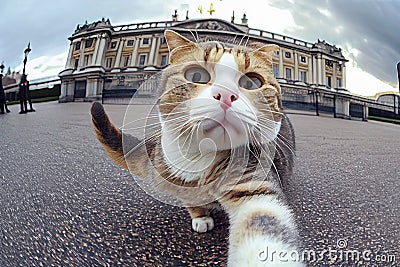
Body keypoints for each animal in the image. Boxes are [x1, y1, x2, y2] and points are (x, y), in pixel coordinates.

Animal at [90, 29, 302, 267]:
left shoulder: (252, 179)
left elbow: (262, 221)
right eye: (196, 76)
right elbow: (190, 199)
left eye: (252, 82)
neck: (201, 156)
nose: (226, 95)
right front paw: (200, 216)